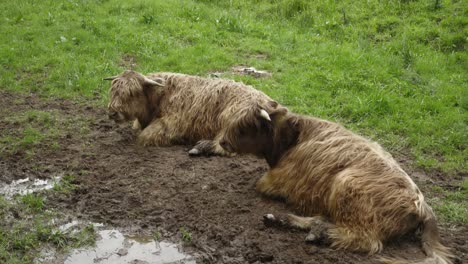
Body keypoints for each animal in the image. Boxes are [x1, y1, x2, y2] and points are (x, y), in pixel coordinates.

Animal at [105, 70, 282, 157]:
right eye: (113, 91)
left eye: (132, 93)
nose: (112, 113)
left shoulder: (171, 124)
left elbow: (144, 136)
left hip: (231, 122)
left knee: (225, 147)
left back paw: (199, 147)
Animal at [218, 105, 454, 264]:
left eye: (243, 128)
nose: (222, 141)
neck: (291, 139)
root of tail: (422, 205)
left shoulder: (280, 180)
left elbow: (261, 184)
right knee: (323, 219)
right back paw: (287, 221)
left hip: (347, 186)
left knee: (364, 240)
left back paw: (319, 233)